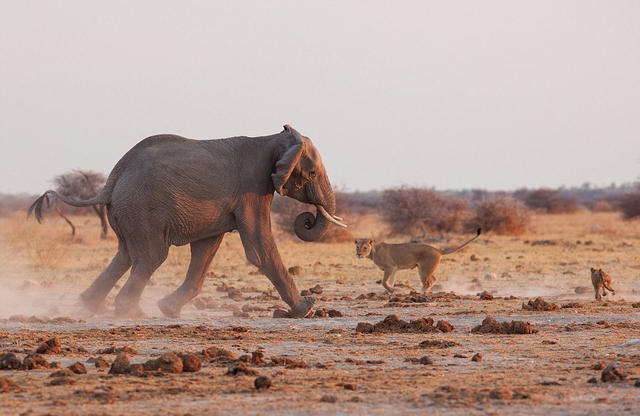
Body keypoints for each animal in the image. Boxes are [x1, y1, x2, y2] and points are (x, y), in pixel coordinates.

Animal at [26, 123, 344, 318]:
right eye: (312, 173)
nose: (306, 220)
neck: (272, 138)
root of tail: (112, 179)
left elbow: (206, 249)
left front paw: (169, 310)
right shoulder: (253, 188)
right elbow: (260, 248)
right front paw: (307, 309)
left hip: (125, 211)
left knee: (126, 255)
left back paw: (89, 306)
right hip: (141, 208)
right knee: (151, 256)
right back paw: (132, 312)